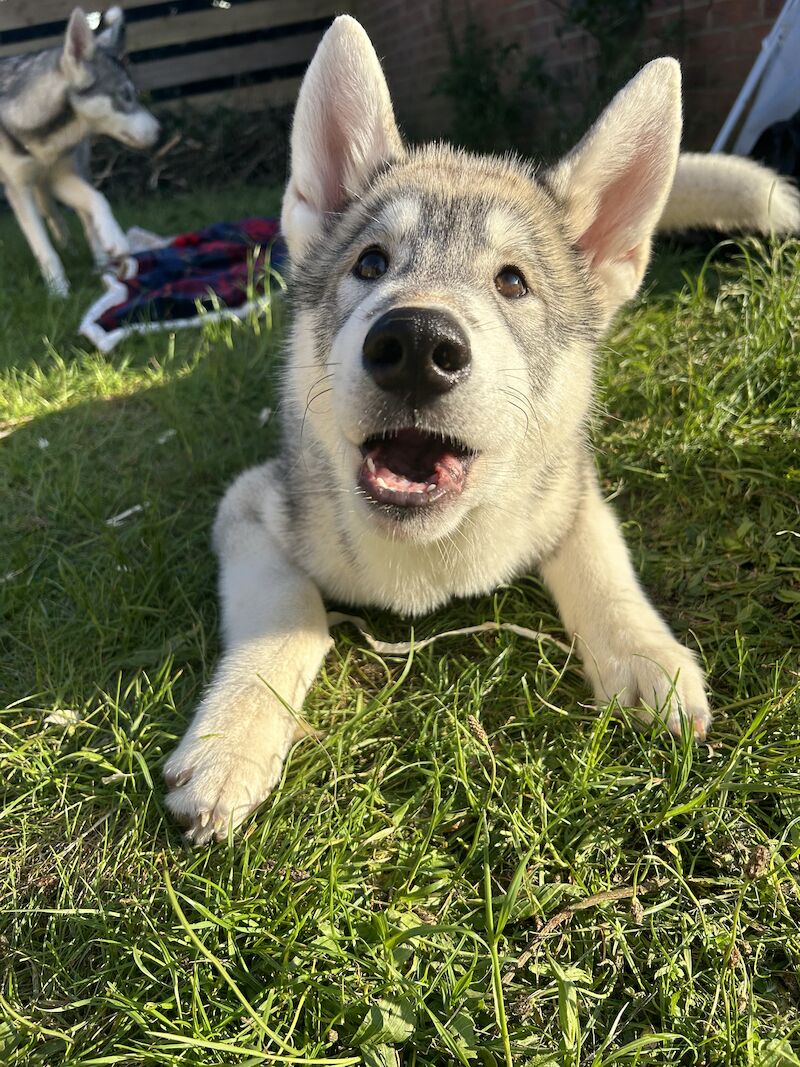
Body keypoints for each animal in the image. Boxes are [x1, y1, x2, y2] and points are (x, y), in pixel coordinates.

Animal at [0, 7, 157, 296]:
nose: (160, 131)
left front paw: (114, 238)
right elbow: (44, 249)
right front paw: (59, 293)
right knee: (53, 216)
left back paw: (101, 265)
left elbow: (99, 200)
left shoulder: (61, 177)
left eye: (135, 94)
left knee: (81, 219)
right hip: (38, 190)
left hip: (75, 171)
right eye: (126, 95)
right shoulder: (19, 190)